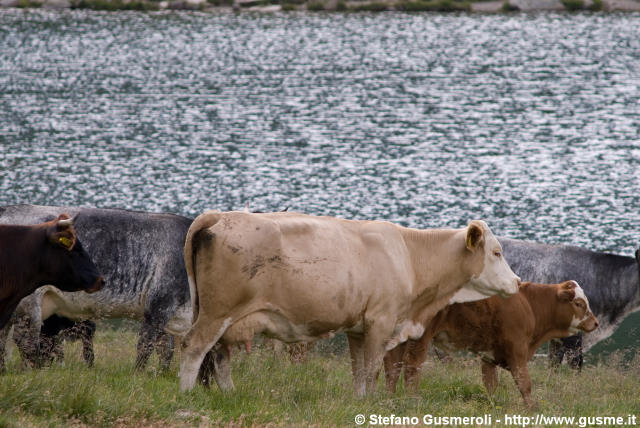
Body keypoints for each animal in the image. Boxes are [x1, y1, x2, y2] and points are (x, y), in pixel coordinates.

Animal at [0, 205, 192, 372]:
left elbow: (166, 349)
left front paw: (162, 373)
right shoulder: (159, 305)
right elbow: (146, 345)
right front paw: (139, 374)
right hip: (29, 303)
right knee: (26, 340)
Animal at [176, 211, 520, 394]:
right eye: (497, 252)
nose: (517, 282)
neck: (408, 254)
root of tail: (222, 216)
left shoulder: (357, 328)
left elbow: (358, 371)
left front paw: (359, 402)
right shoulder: (381, 321)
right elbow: (371, 370)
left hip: (225, 317)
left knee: (220, 354)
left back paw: (229, 393)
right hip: (217, 312)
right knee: (194, 346)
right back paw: (187, 394)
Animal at [384, 280, 600, 408]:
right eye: (579, 303)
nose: (595, 322)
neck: (528, 304)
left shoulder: (488, 355)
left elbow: (490, 384)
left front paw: (492, 404)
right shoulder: (517, 351)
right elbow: (525, 383)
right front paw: (531, 409)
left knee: (392, 366)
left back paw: (390, 398)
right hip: (420, 337)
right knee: (411, 366)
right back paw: (412, 401)